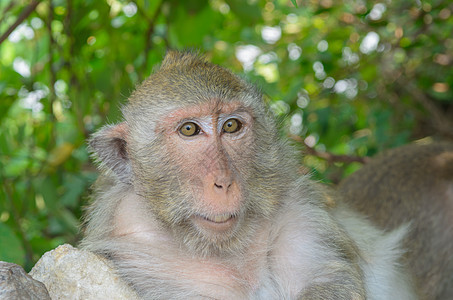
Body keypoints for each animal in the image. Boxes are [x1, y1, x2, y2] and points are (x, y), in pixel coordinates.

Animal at [80, 50, 414, 298]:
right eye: (189, 129)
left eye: (231, 126)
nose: (224, 182)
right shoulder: (127, 233)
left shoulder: (295, 204)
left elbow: (329, 279)